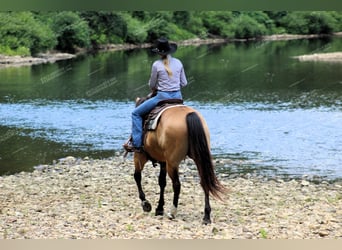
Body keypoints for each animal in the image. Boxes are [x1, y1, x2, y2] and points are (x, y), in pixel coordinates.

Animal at [127, 96, 223, 225]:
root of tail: (190, 115)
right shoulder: (163, 161)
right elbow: (162, 182)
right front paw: (159, 208)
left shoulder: (140, 156)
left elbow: (137, 176)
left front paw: (146, 204)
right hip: (198, 159)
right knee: (204, 182)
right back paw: (206, 216)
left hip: (172, 163)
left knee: (177, 185)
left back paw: (172, 212)